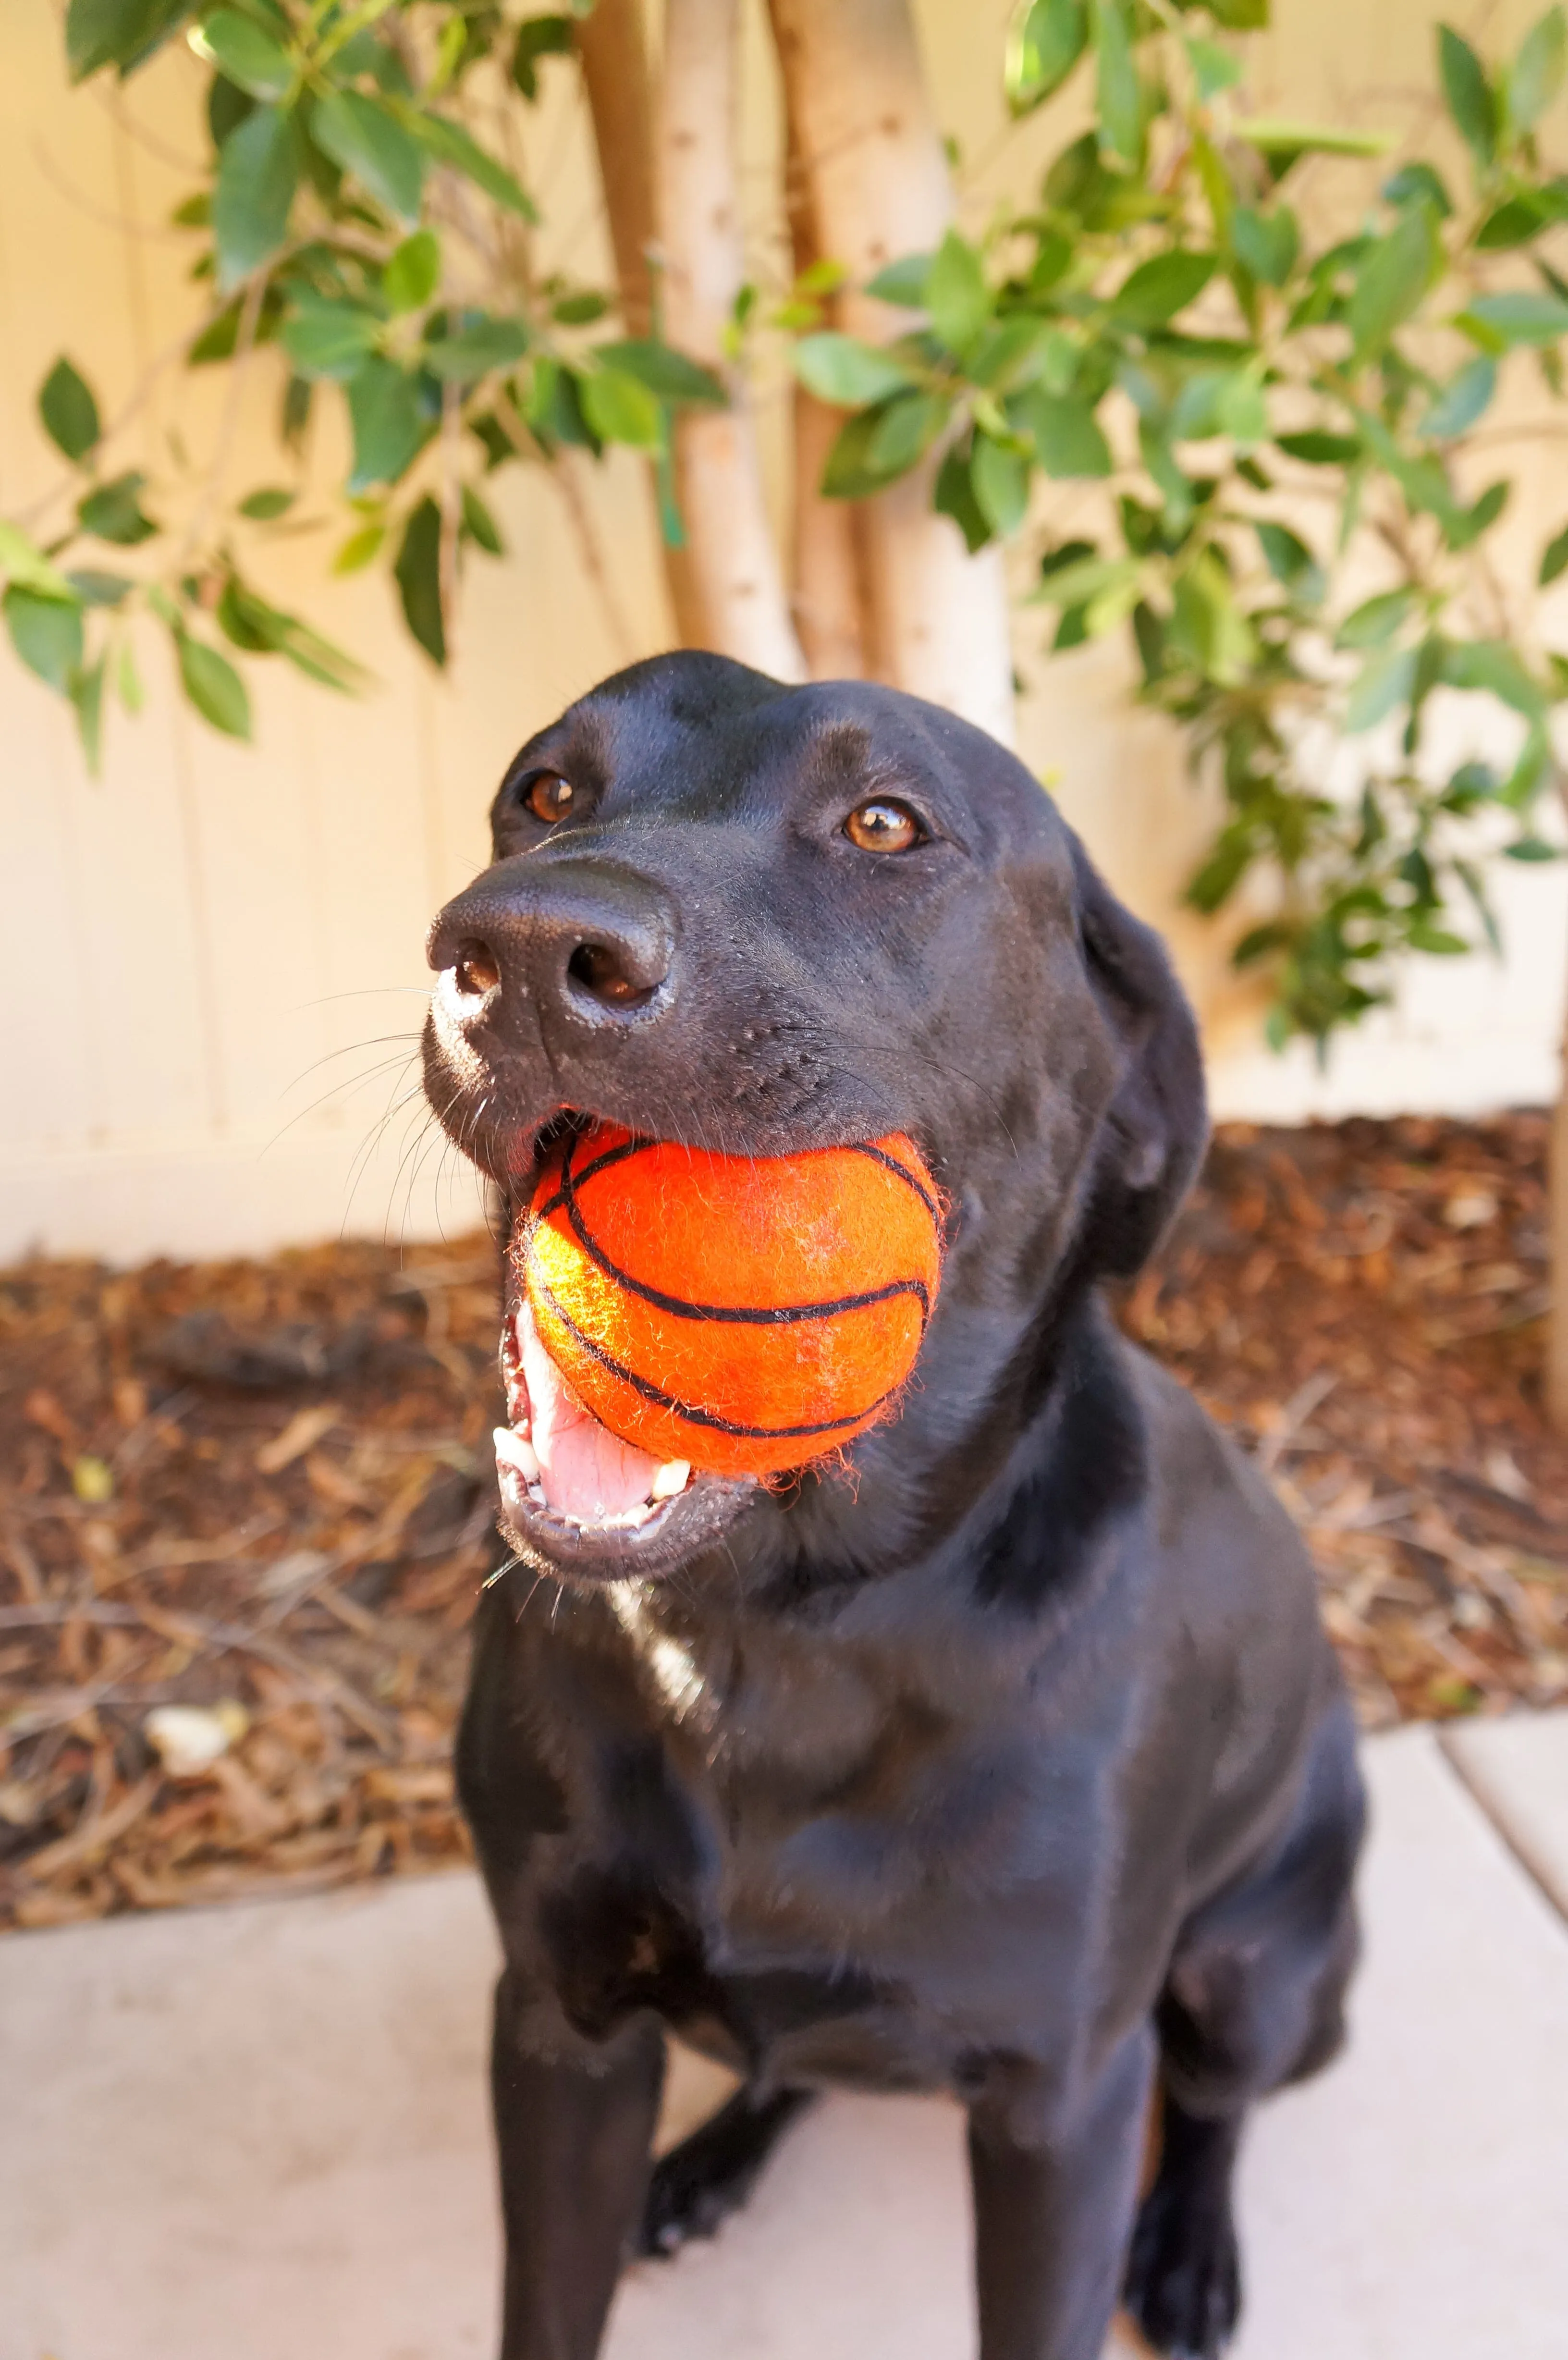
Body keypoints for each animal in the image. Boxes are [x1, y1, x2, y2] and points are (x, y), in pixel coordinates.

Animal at [422, 656, 1370, 2360]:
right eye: (545, 791)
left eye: (883, 823)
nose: (519, 949)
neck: (774, 1629)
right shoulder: (554, 2025)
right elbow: (549, 2299)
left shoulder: (1064, 2107)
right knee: (789, 2056)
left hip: (1261, 1967)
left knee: (1218, 2101)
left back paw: (1191, 2246)